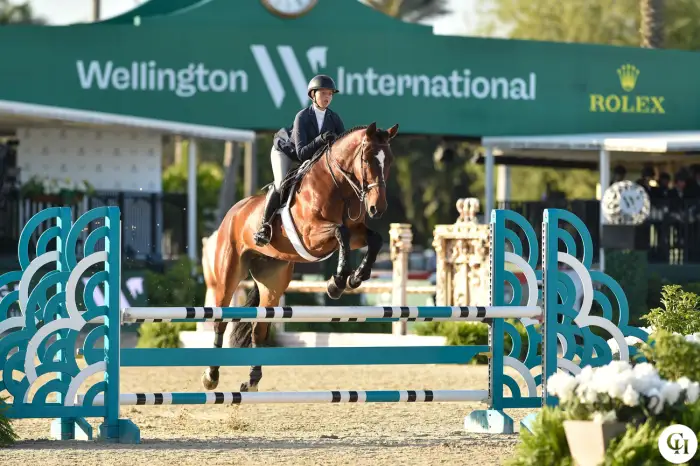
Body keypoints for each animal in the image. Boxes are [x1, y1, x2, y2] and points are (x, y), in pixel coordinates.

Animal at [201, 122, 399, 392]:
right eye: (368, 158)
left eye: (388, 160)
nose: (377, 209)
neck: (339, 187)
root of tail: (234, 212)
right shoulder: (311, 235)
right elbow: (341, 232)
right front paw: (337, 282)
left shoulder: (357, 231)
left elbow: (374, 238)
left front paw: (356, 277)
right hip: (228, 274)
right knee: (220, 319)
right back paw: (211, 376)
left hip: (272, 281)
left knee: (259, 328)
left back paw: (252, 380)